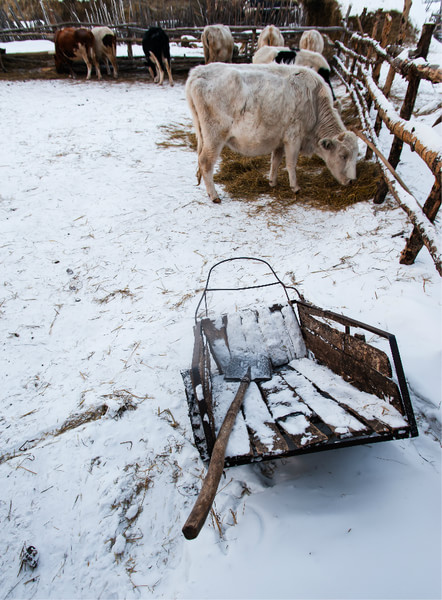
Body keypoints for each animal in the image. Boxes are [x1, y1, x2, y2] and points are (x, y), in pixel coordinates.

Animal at [185, 63, 358, 203]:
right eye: (343, 155)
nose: (352, 181)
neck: (314, 104)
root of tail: (197, 72)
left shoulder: (279, 140)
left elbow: (276, 160)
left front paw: (272, 182)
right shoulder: (294, 137)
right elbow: (291, 163)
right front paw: (295, 187)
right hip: (214, 136)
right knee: (205, 162)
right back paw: (214, 196)